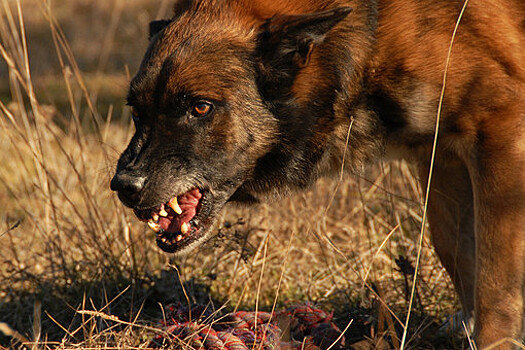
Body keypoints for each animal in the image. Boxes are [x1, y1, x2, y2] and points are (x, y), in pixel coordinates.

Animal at [110, 0, 524, 348]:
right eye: (136, 110)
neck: (370, 36)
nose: (124, 186)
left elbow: (493, 278)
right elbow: (455, 249)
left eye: (199, 107)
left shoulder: (499, 131)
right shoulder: (441, 156)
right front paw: (468, 326)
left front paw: (494, 340)